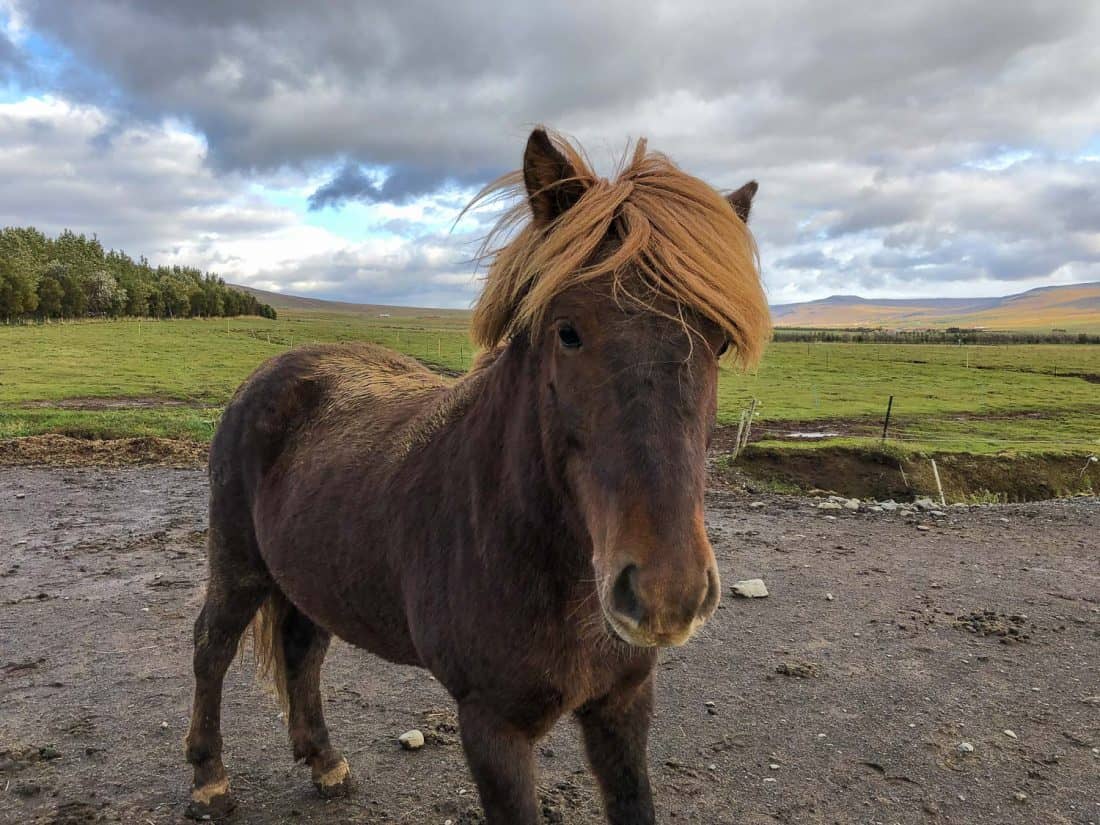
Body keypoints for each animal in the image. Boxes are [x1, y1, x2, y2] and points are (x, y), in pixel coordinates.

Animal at [187, 129, 774, 825]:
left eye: (718, 342)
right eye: (567, 331)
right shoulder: (493, 727)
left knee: (304, 648)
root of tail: (274, 371)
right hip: (239, 564)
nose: (666, 594)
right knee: (211, 646)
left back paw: (325, 762)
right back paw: (208, 780)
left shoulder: (624, 704)